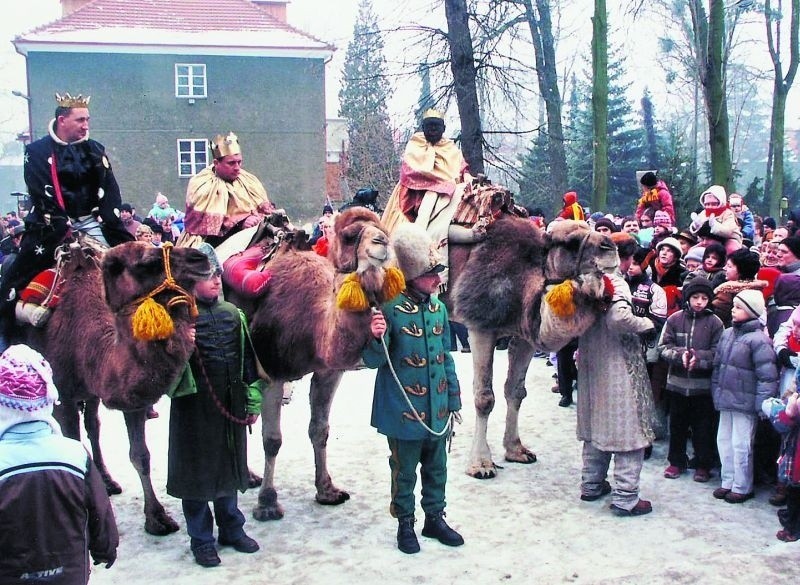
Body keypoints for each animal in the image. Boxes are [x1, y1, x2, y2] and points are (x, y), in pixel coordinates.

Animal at [21, 238, 211, 532]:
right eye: (148, 262)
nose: (200, 258)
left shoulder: (132, 400)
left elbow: (140, 455)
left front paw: (157, 518)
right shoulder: (63, 396)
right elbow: (74, 446)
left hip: (91, 394)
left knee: (93, 425)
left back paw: (108, 481)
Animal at [225, 208, 394, 516]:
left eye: (382, 228)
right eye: (350, 235)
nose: (382, 242)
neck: (314, 322)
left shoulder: (329, 371)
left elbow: (320, 430)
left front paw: (327, 490)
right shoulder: (273, 372)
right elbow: (272, 440)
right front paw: (268, 503)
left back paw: (248, 477)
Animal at [450, 212, 620, 476]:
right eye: (571, 241)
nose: (611, 247)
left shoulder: (524, 335)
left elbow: (516, 391)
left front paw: (516, 451)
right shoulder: (481, 325)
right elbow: (484, 397)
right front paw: (481, 464)